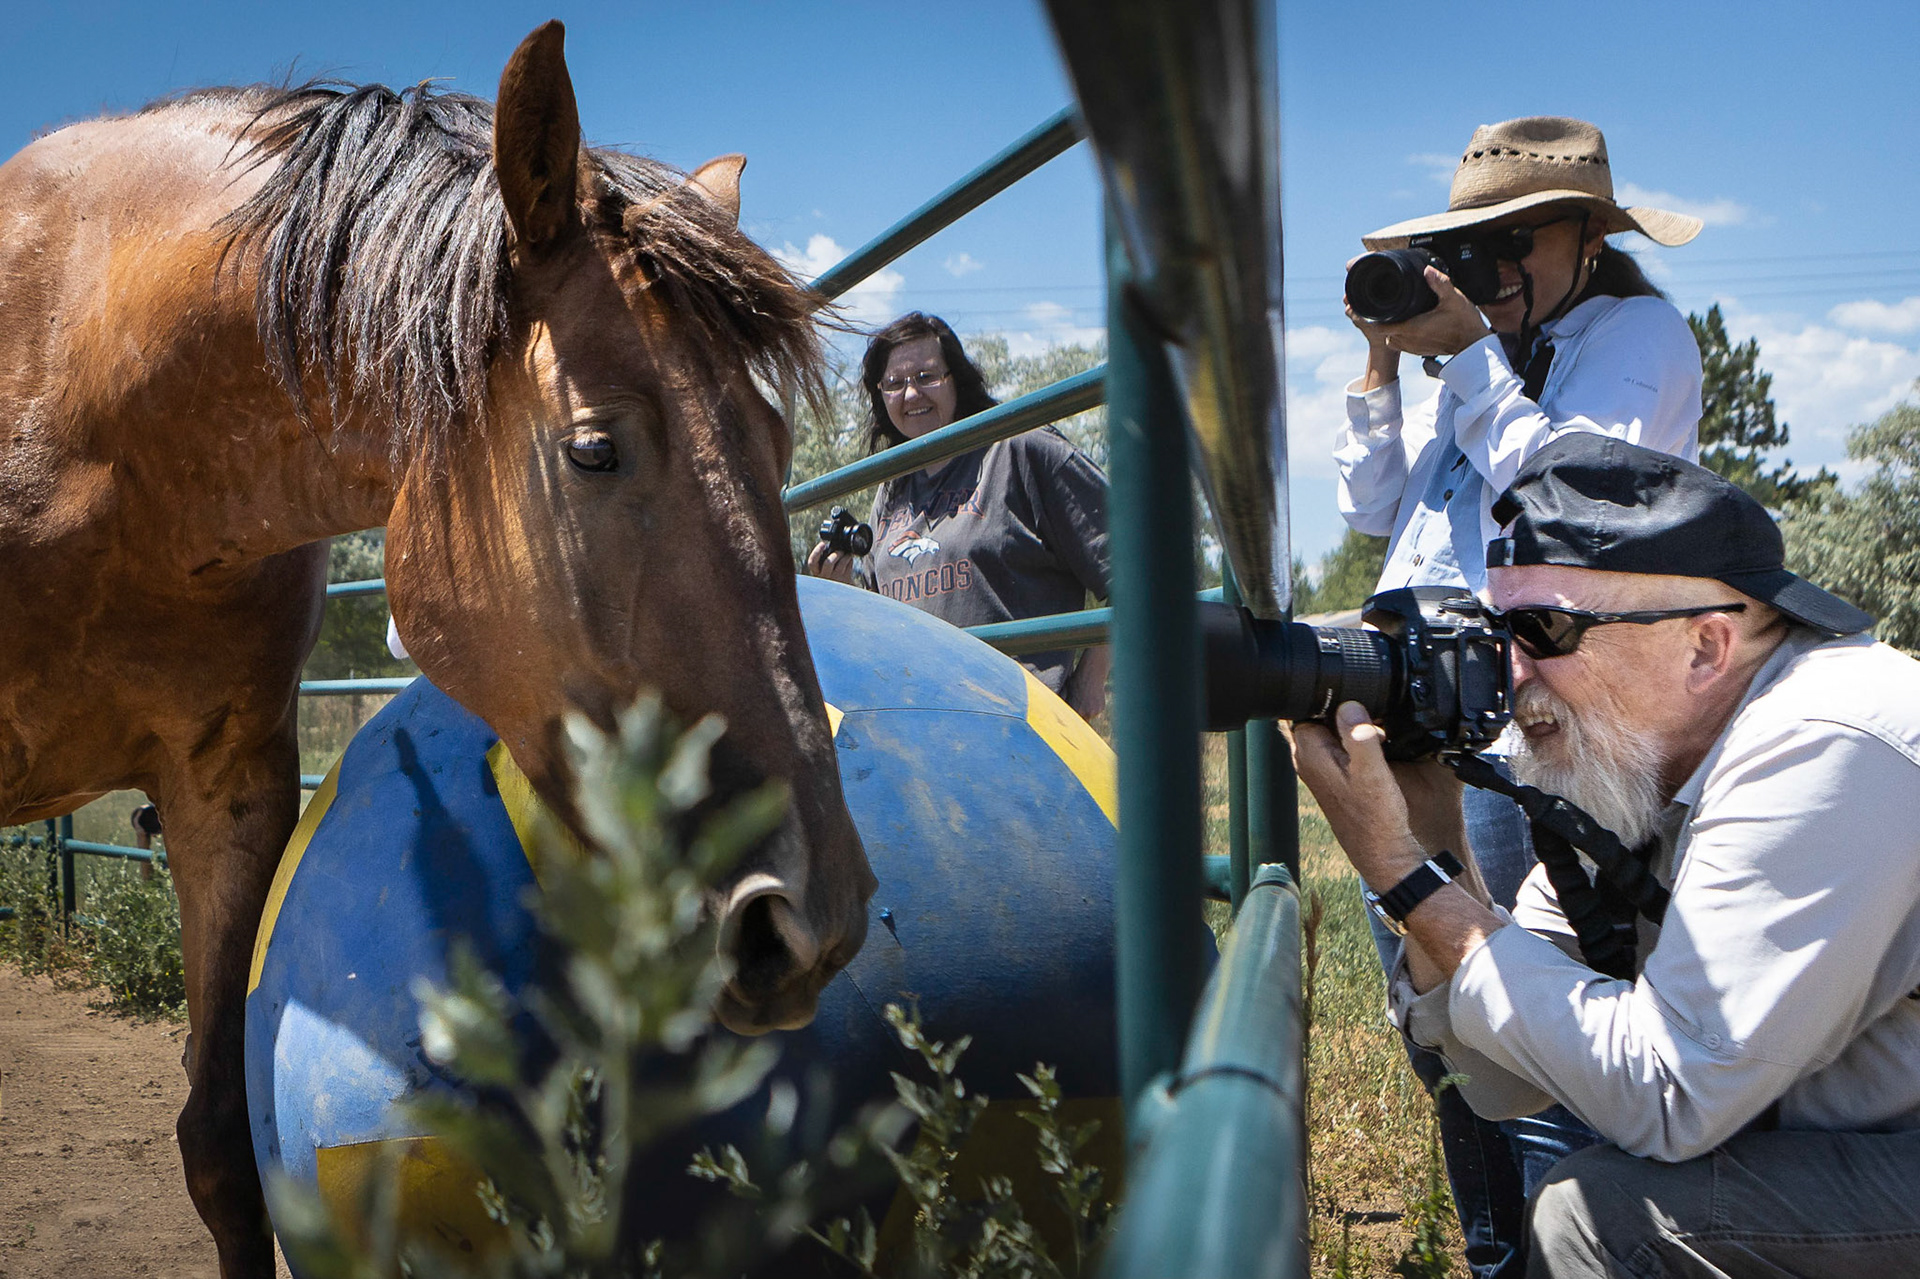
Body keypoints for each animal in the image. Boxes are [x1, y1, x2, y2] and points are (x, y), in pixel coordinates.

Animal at [0, 21, 875, 1278]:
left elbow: (219, 1147)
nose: (812, 918)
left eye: (773, 436)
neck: (77, 394)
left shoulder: (227, 791)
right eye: (594, 450)